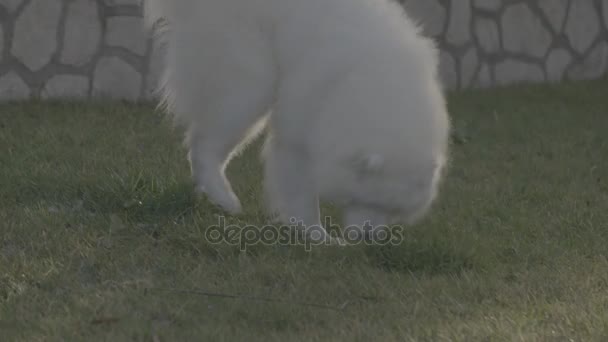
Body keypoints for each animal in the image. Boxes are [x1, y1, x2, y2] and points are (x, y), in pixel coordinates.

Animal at [144, 0, 452, 242]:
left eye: (391, 210)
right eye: (363, 199)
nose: (369, 237)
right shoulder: (304, 122)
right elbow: (298, 185)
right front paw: (317, 236)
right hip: (249, 77)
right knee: (207, 143)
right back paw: (224, 197)